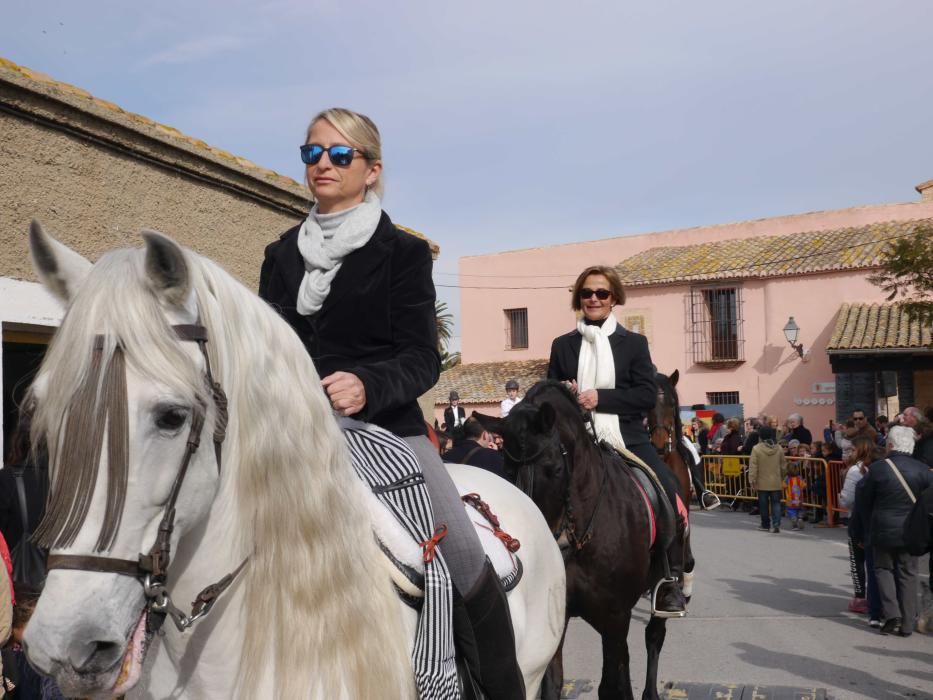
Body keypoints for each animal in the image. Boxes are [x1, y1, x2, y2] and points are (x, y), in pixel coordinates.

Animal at [496, 382, 684, 700]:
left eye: (555, 469)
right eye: (507, 470)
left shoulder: (616, 614)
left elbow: (610, 684)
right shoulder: (558, 616)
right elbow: (553, 683)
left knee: (653, 637)